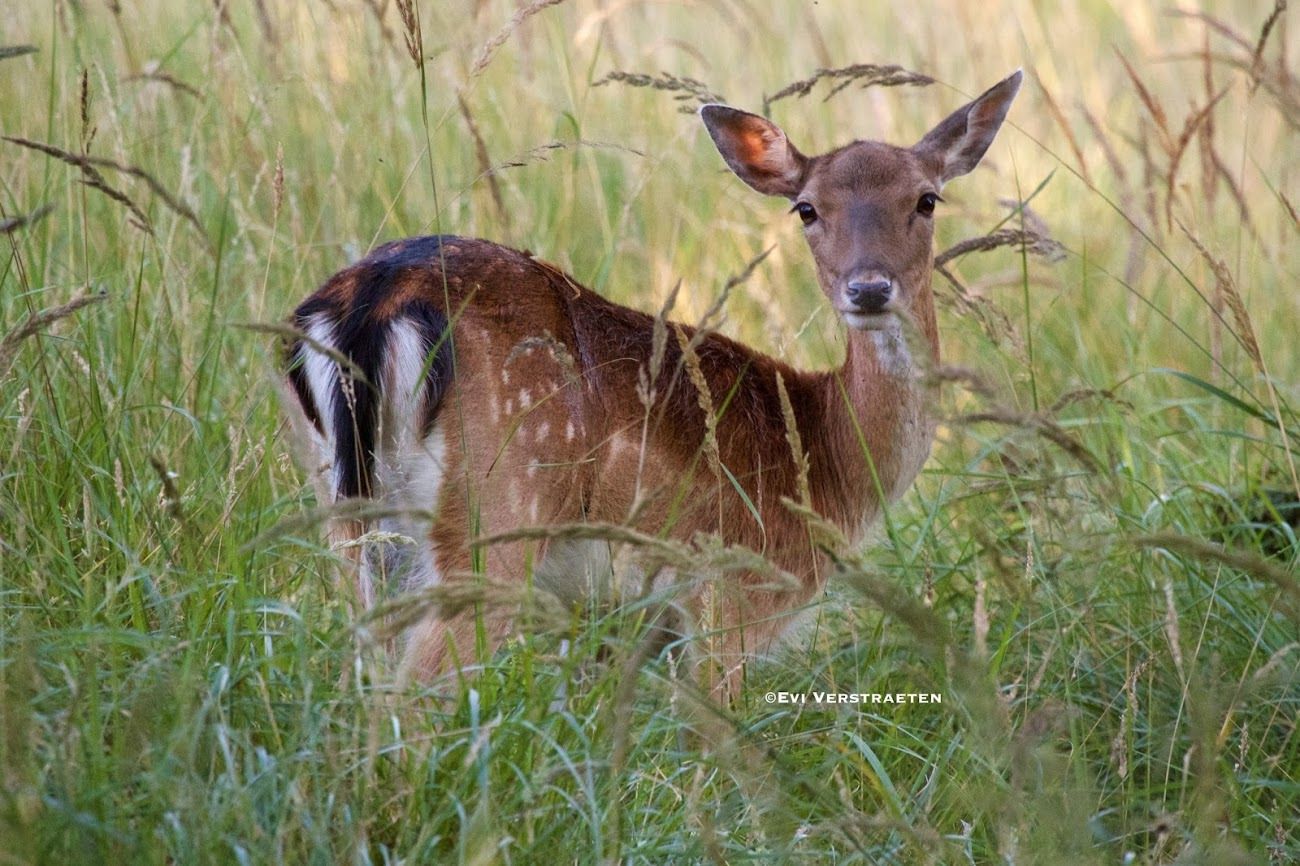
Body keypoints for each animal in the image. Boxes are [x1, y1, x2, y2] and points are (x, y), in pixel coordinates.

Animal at [284, 70, 1024, 696]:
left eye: (926, 199)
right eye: (807, 209)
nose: (868, 288)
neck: (827, 463)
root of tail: (373, 299)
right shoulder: (729, 591)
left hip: (347, 519)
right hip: (495, 515)